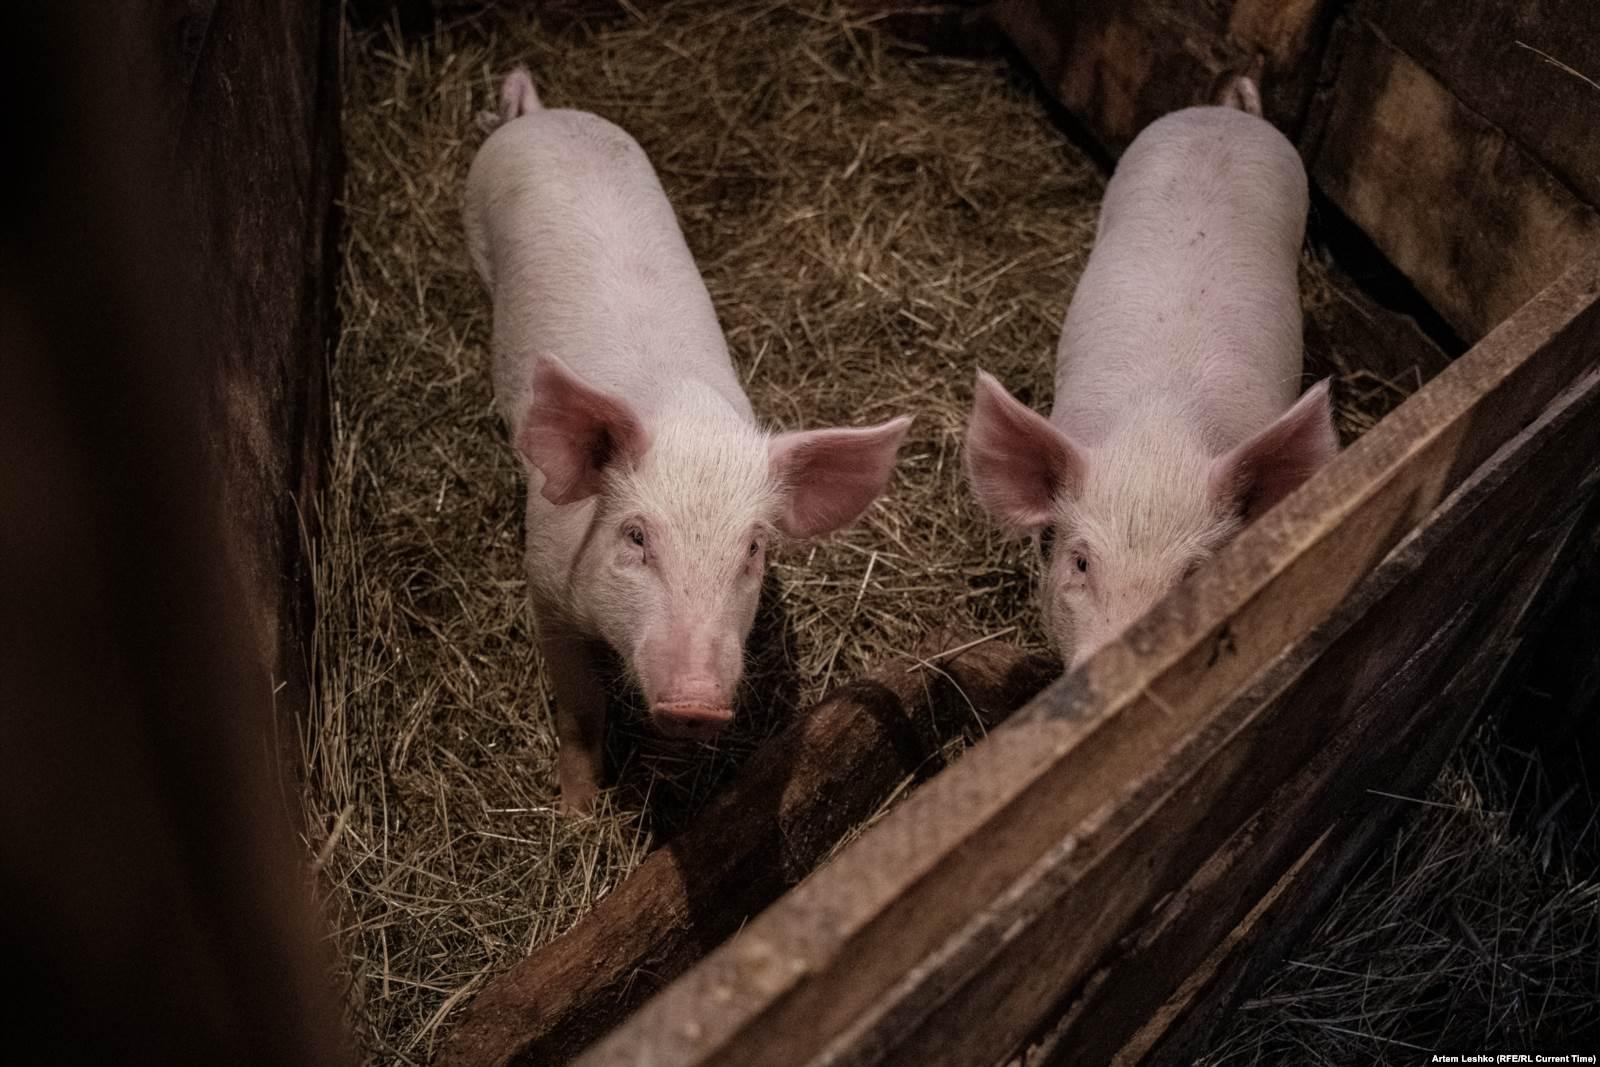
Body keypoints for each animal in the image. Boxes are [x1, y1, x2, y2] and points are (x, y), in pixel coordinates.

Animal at [464, 68, 911, 813]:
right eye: (636, 536)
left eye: (754, 548)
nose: (698, 701)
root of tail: (542, 115)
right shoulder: (545, 587)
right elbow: (580, 708)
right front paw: (577, 814)